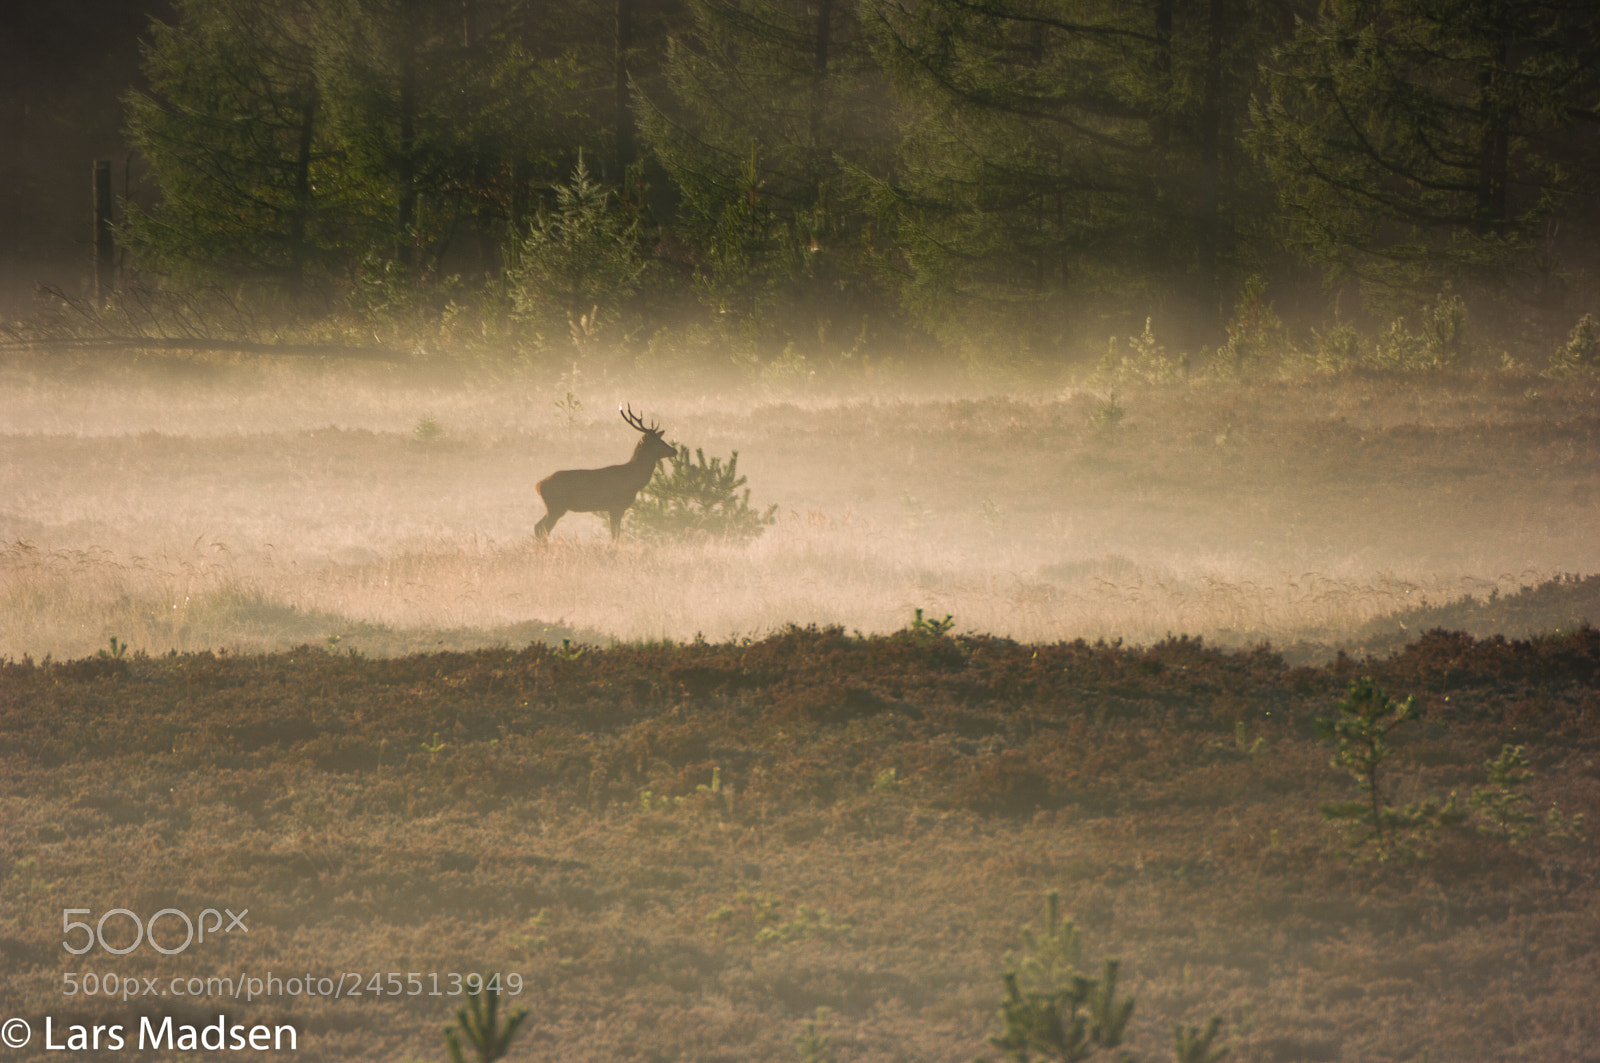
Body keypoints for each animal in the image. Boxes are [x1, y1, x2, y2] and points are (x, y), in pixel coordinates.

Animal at [534, 404, 678, 540]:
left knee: (538, 527)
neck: (633, 479)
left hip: (553, 507)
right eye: (656, 442)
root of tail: (539, 485)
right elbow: (615, 536)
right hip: (556, 506)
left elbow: (616, 534)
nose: (674, 450)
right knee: (542, 529)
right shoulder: (616, 506)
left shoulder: (615, 508)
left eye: (661, 439)